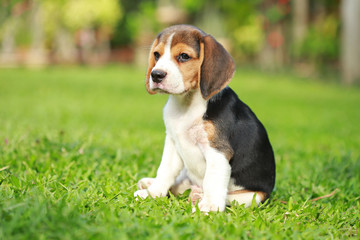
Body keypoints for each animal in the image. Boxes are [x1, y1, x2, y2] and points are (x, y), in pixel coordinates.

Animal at [135, 24, 276, 212]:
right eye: (157, 55)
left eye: (184, 56)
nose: (156, 74)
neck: (187, 105)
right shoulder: (172, 143)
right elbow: (165, 170)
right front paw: (153, 193)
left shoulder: (218, 151)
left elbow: (212, 180)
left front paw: (210, 206)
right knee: (180, 183)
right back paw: (151, 184)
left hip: (254, 196)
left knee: (227, 196)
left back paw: (199, 195)